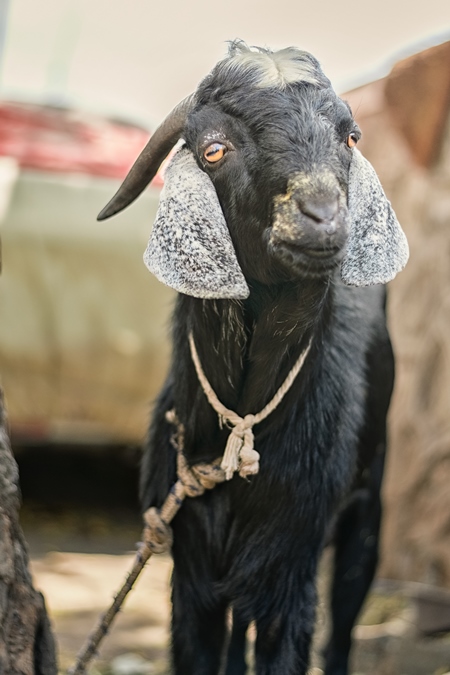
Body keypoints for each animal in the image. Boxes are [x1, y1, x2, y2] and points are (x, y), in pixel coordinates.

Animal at [98, 42, 408, 675]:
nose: (322, 216)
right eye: (214, 149)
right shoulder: (192, 562)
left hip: (368, 506)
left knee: (344, 622)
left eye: (350, 137)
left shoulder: (290, 561)